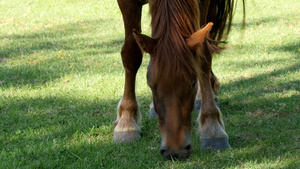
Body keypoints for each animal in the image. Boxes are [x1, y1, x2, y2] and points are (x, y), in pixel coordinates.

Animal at [113, 0, 245, 160]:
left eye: (193, 83)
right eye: (151, 86)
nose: (175, 151)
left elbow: (203, 56)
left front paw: (212, 128)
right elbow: (131, 53)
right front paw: (126, 123)